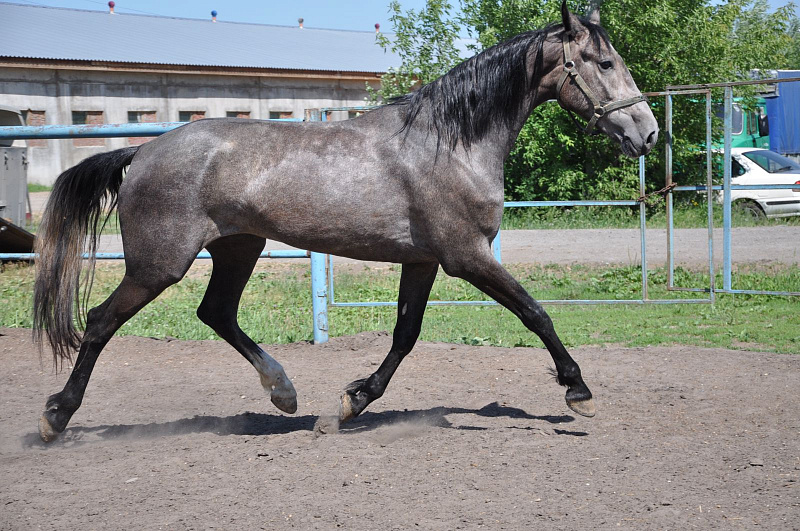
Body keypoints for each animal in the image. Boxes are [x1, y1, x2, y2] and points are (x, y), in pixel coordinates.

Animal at [32, 2, 658, 442]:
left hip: (239, 246)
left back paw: (284, 393)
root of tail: (142, 152)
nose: (647, 133)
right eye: (605, 64)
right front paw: (579, 390)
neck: (449, 144)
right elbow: (535, 313)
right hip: (159, 263)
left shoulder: (424, 260)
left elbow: (406, 334)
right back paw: (56, 417)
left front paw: (351, 402)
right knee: (100, 321)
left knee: (216, 313)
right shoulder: (467, 256)